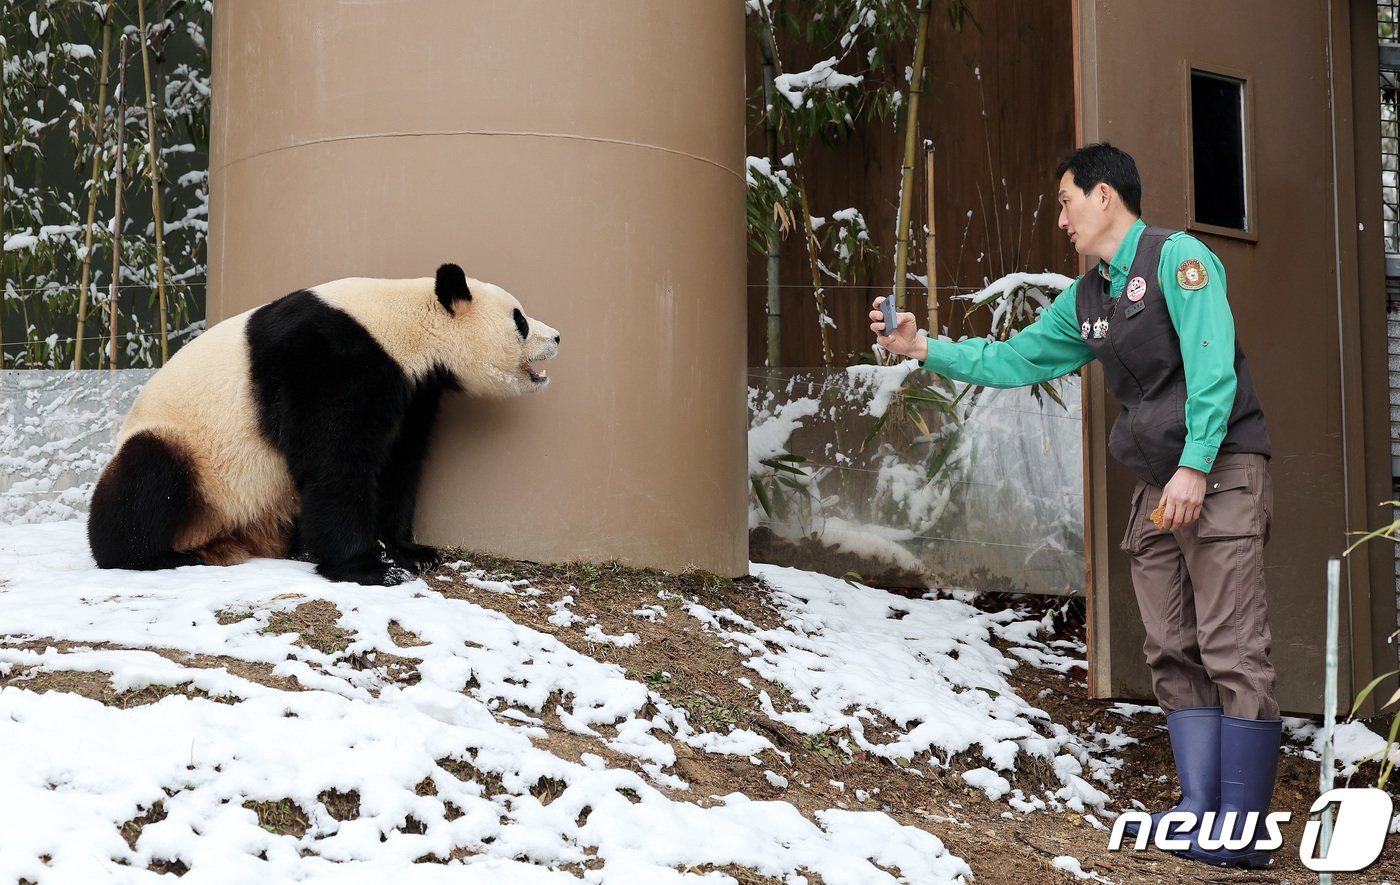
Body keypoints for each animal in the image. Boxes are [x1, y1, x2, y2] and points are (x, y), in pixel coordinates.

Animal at [84, 267, 557, 588]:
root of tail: (219, 536)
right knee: (147, 478)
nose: (556, 337)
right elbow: (335, 462)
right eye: (520, 319)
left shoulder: (411, 390)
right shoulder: (327, 359)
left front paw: (411, 551)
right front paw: (368, 568)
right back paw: (154, 557)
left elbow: (398, 464)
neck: (406, 326)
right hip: (189, 449)